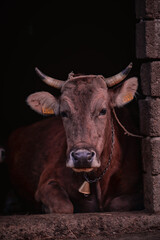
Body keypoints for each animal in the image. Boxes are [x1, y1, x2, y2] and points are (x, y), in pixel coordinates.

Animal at [6, 63, 142, 212]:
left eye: (103, 110)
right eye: (64, 113)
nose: (82, 157)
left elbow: (117, 204)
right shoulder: (46, 183)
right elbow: (65, 207)